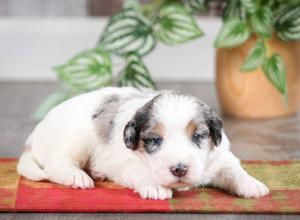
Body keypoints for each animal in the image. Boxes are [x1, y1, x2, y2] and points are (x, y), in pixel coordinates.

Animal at [17, 87, 270, 200]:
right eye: (155, 140)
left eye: (198, 137)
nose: (179, 169)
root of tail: (32, 138)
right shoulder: (125, 162)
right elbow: (141, 170)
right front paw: (156, 187)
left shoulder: (220, 157)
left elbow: (233, 169)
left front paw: (251, 184)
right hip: (73, 138)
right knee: (56, 165)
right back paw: (77, 176)